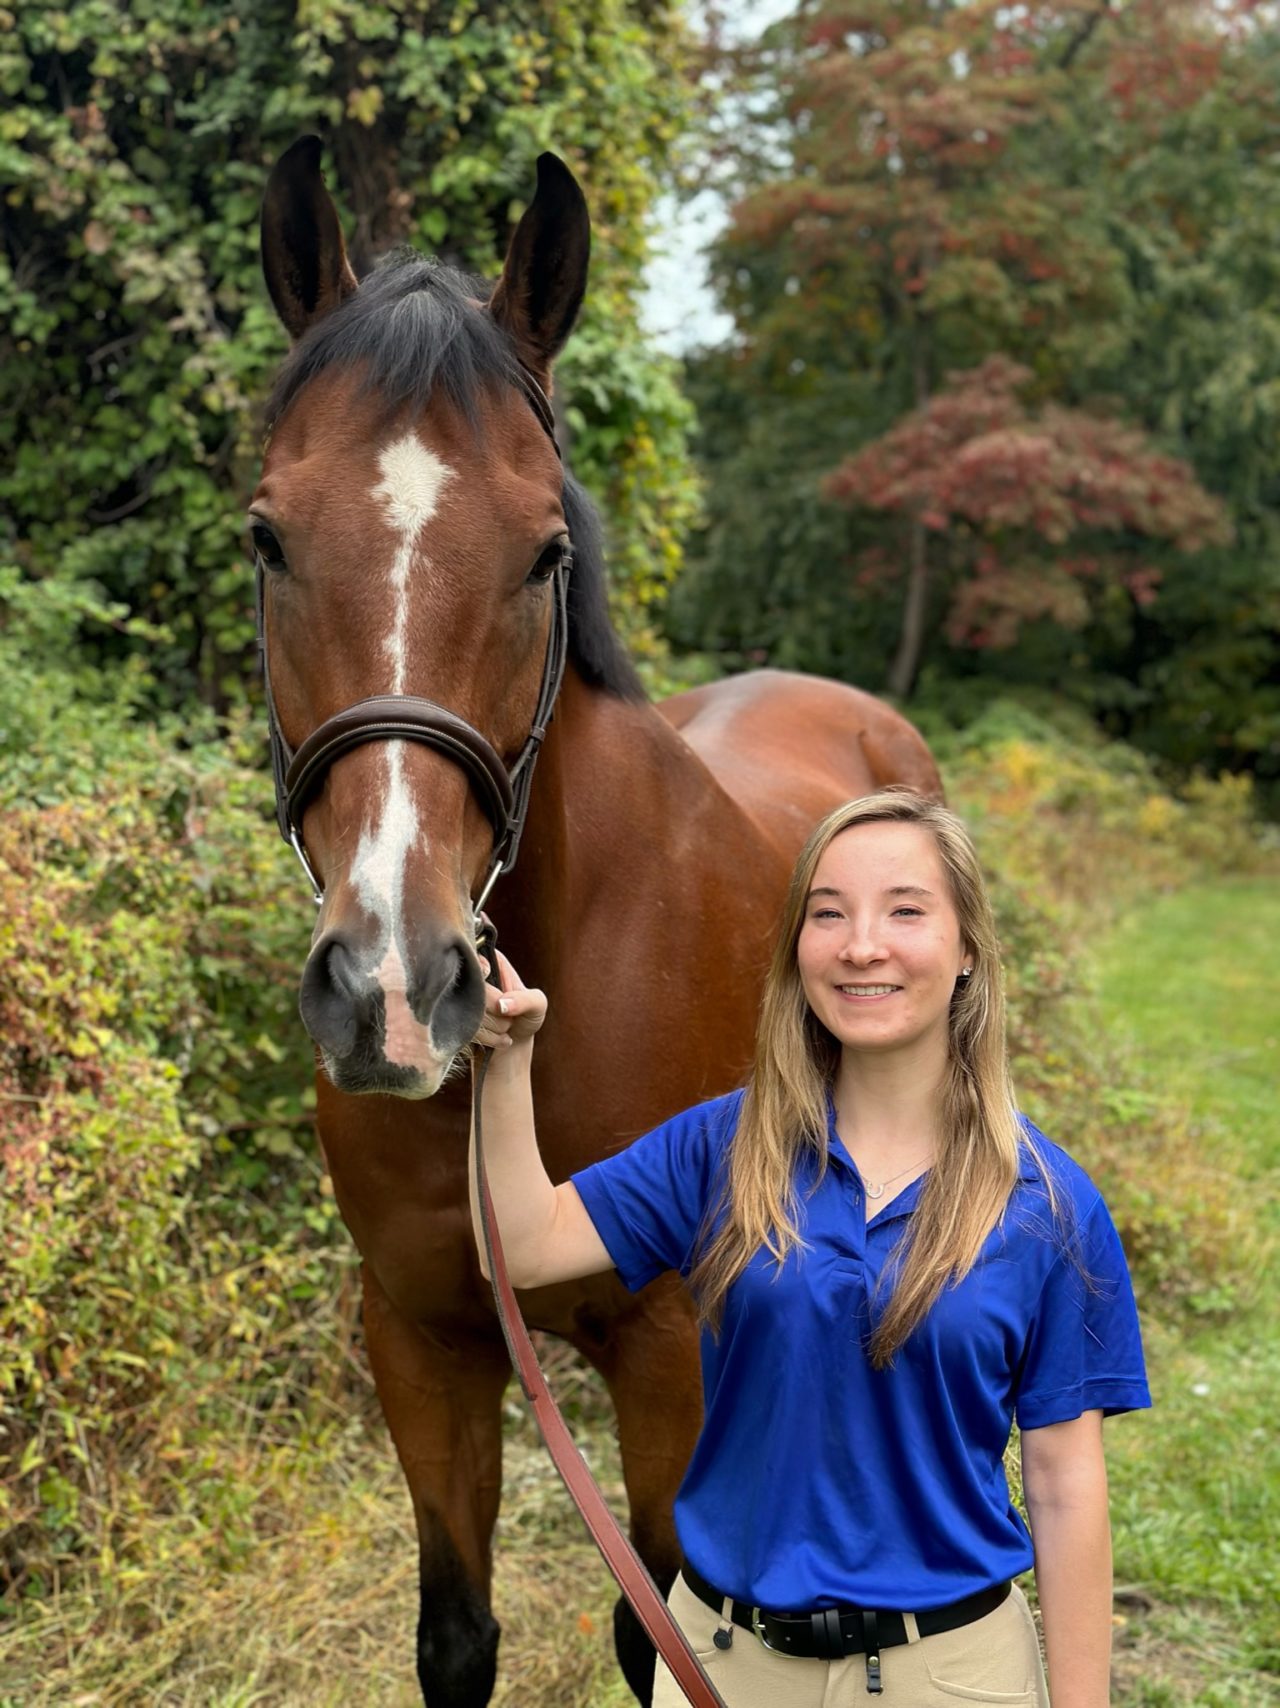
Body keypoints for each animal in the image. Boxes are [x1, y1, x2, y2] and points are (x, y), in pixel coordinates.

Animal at [252, 136, 936, 1708]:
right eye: (266, 538)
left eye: (544, 553)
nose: (393, 990)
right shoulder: (422, 1336)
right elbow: (455, 1638)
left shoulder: (668, 1351)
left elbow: (657, 1634)